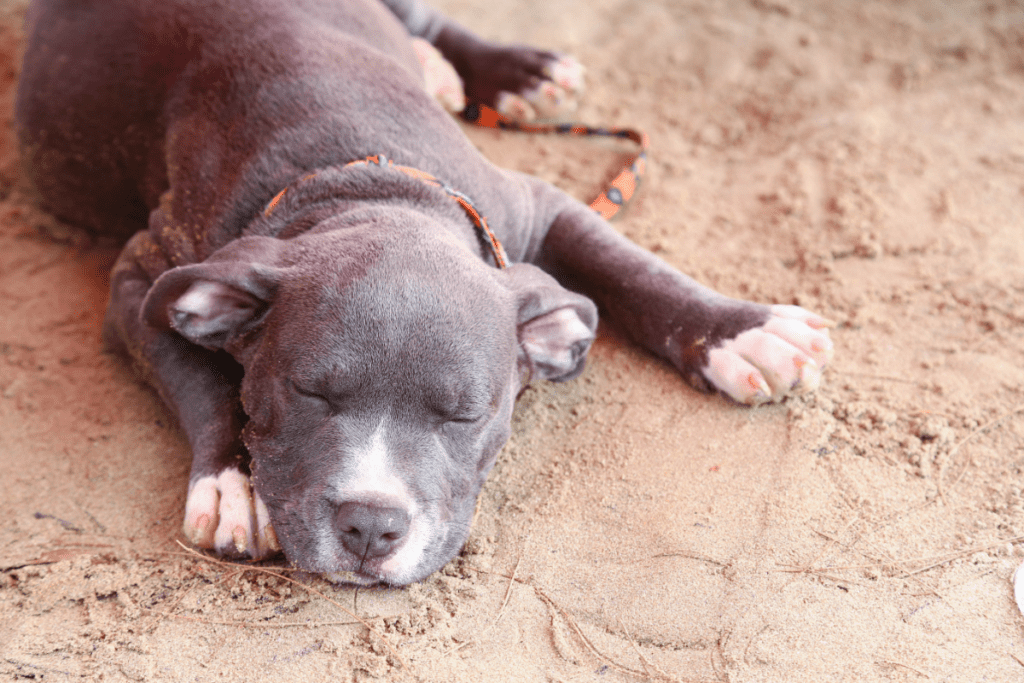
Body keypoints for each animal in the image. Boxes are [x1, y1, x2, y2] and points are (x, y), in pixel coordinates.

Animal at [16, 0, 831, 589]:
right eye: (308, 392)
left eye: (465, 415)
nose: (371, 527)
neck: (361, 182)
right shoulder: (147, 277)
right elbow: (198, 376)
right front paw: (232, 482)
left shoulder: (535, 205)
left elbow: (630, 267)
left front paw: (744, 329)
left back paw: (510, 70)